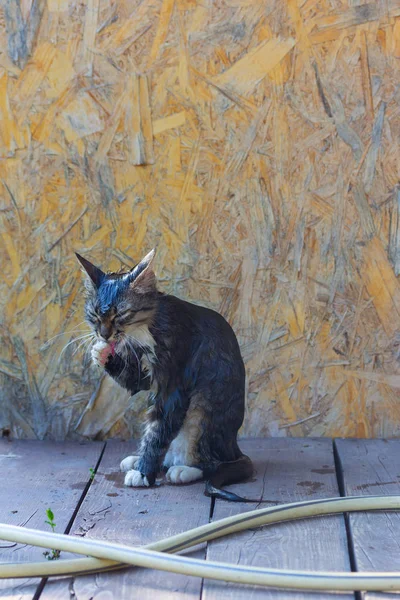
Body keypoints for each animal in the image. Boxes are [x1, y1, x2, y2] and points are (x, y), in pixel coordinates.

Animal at [76, 248, 253, 502]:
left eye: (121, 314)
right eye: (94, 315)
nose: (104, 334)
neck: (142, 332)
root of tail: (234, 448)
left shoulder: (176, 386)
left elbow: (158, 431)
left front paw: (143, 473)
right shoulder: (143, 375)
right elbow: (135, 383)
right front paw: (101, 352)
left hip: (204, 409)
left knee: (211, 462)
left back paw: (183, 469)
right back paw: (139, 459)